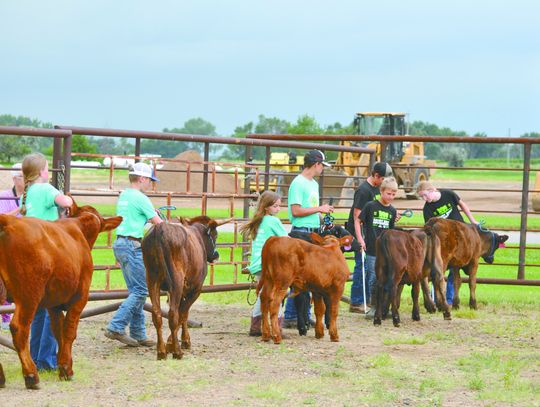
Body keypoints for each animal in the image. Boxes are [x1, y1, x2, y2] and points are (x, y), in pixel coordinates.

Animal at [0, 202, 121, 390]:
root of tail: (8, 220)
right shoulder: (81, 297)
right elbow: (70, 332)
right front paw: (66, 370)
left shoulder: (53, 304)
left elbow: (59, 332)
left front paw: (64, 364)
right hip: (29, 295)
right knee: (20, 328)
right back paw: (31, 376)